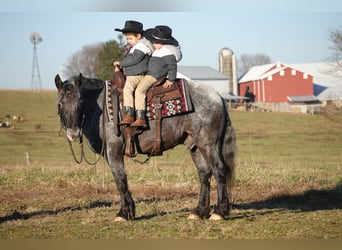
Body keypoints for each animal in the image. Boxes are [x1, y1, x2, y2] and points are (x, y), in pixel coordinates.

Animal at [54, 73, 236, 221]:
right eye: (60, 104)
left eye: (79, 102)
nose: (73, 133)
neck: (102, 108)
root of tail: (217, 97)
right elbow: (122, 179)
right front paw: (129, 211)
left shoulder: (113, 151)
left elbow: (120, 179)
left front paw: (124, 213)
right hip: (195, 146)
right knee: (204, 174)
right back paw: (199, 211)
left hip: (208, 144)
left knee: (219, 170)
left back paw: (219, 212)